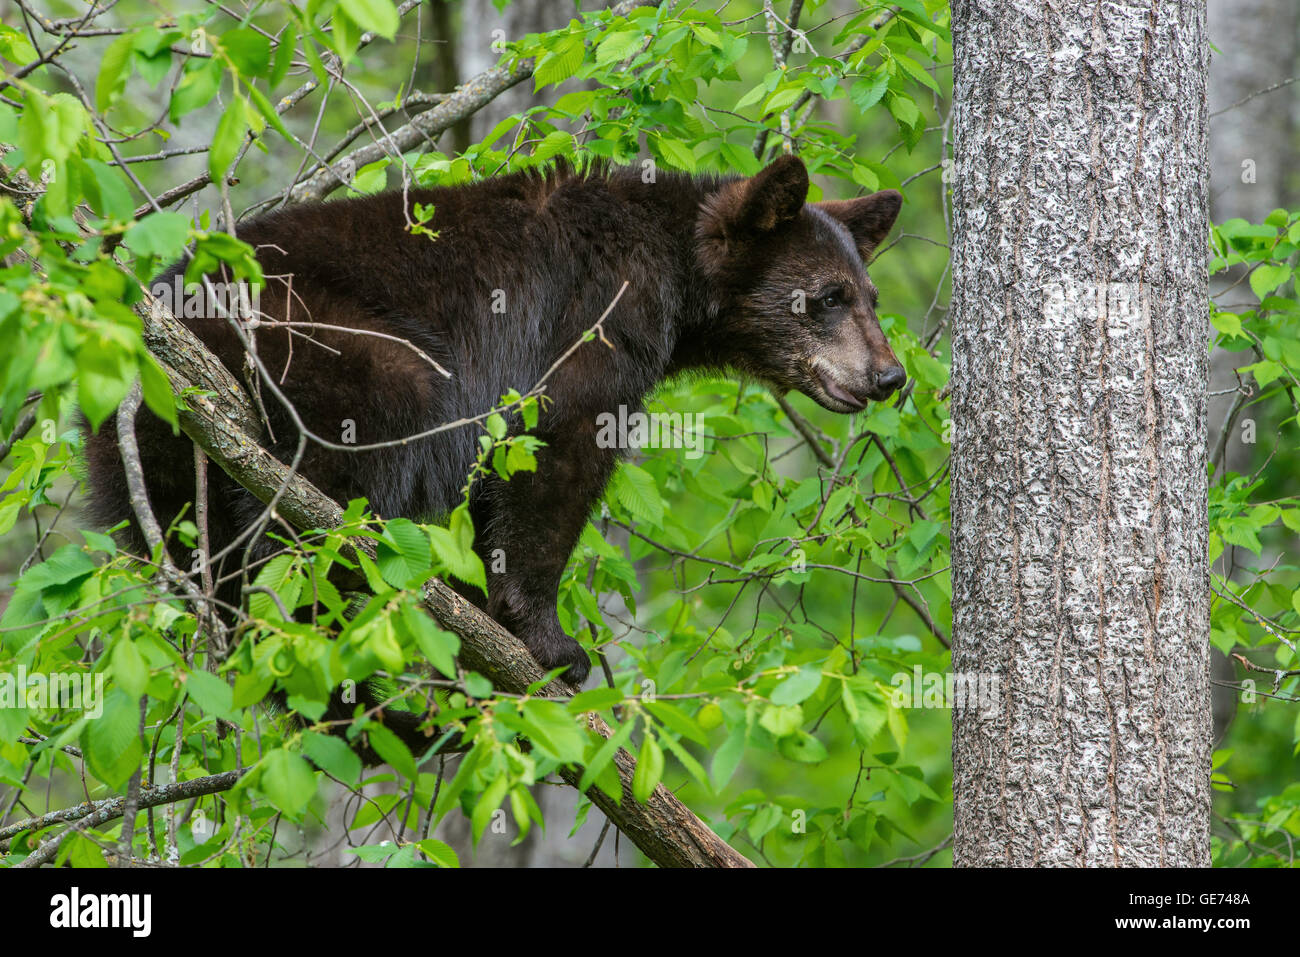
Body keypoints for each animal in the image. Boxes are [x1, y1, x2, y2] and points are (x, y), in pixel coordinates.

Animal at [84, 154, 902, 753]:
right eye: (827, 298)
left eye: (870, 297)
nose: (889, 376)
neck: (671, 266)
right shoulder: (591, 326)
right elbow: (554, 461)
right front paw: (548, 640)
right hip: (332, 351)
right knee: (323, 504)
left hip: (145, 470)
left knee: (210, 568)